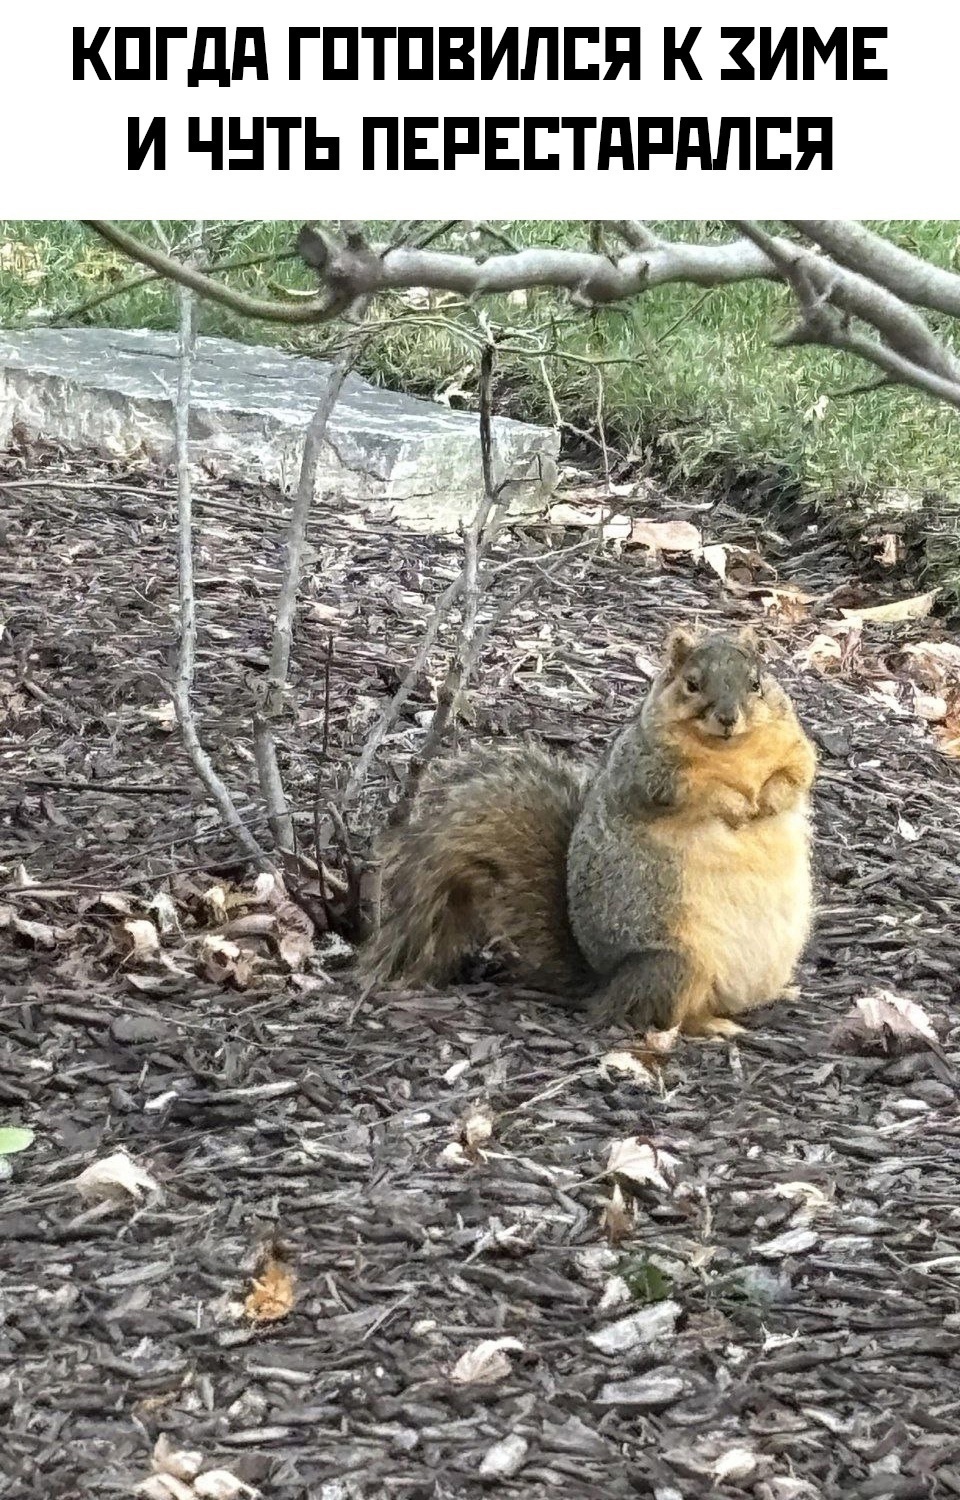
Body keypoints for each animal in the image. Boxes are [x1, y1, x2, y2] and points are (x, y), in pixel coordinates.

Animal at [363, 627, 816, 1038]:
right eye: (692, 684)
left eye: (756, 683)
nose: (727, 718)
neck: (730, 750)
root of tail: (603, 984)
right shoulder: (648, 773)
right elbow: (693, 794)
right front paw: (736, 806)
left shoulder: (794, 747)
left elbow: (798, 774)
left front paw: (768, 800)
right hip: (675, 967)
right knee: (668, 1015)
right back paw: (714, 1024)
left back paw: (779, 995)